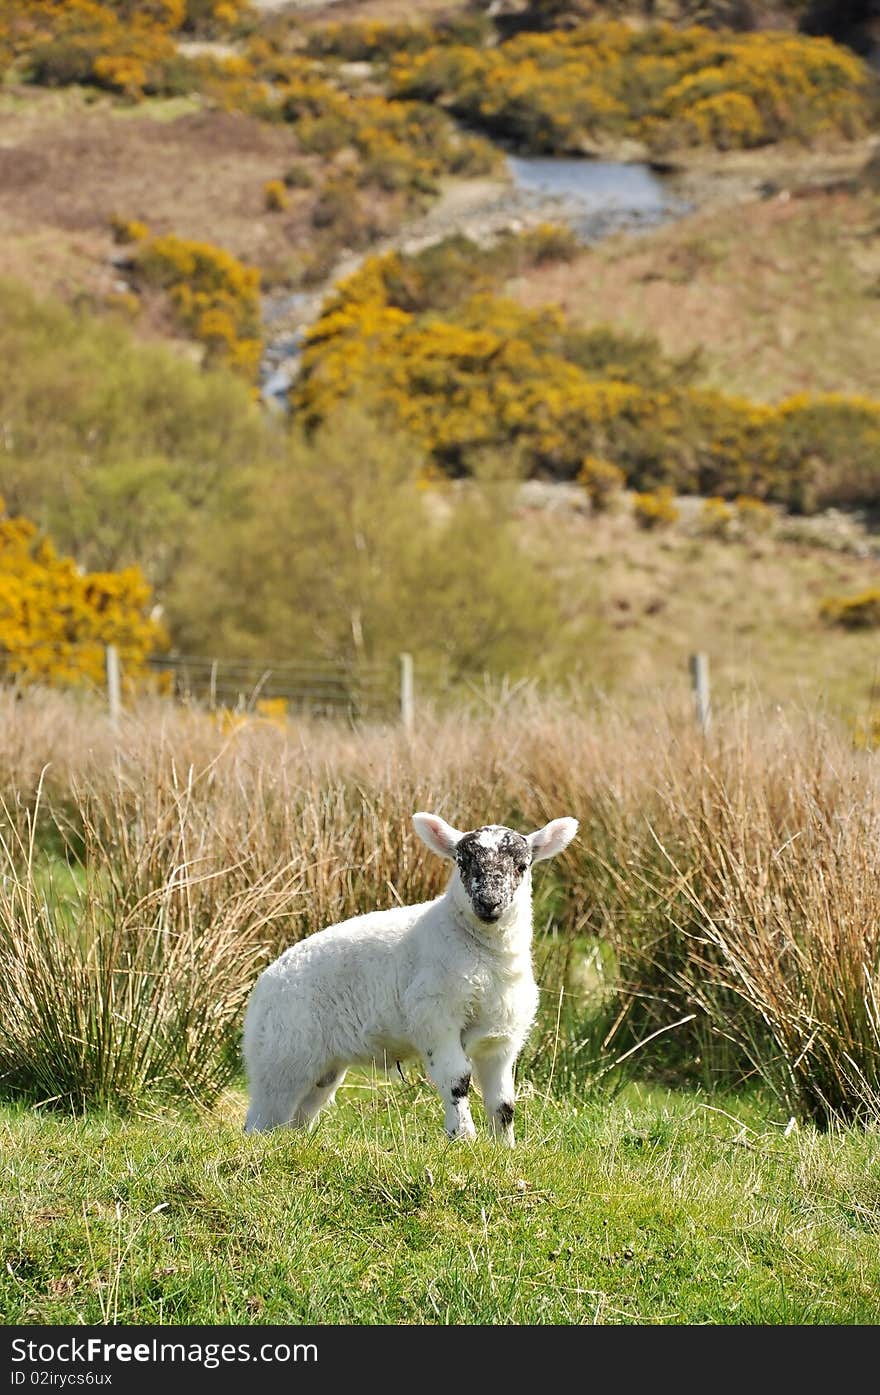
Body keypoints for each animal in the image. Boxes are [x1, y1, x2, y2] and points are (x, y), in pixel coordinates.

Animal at [241, 809, 577, 1143]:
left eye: (522, 865)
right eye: (461, 862)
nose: (488, 903)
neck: (484, 953)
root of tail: (263, 985)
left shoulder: (502, 1038)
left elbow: (503, 1102)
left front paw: (504, 1147)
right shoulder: (436, 1018)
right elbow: (457, 1080)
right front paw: (463, 1138)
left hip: (321, 1069)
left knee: (298, 1118)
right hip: (282, 1056)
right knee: (262, 1118)